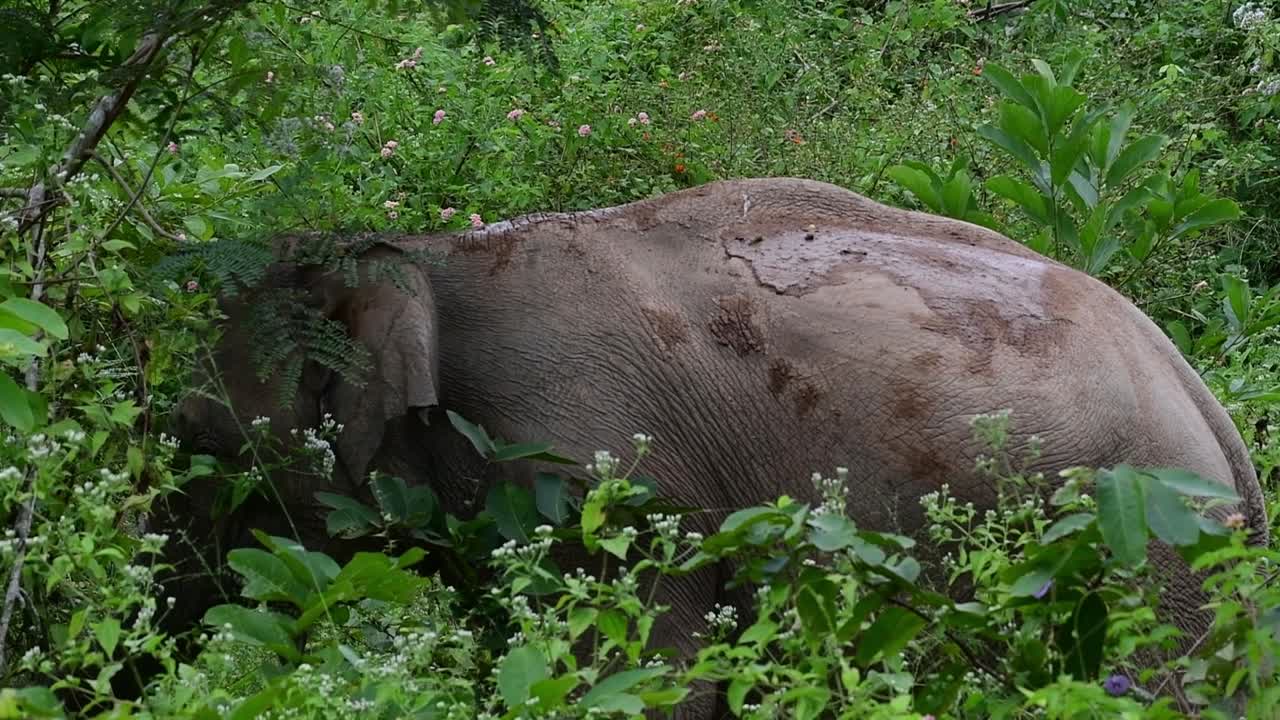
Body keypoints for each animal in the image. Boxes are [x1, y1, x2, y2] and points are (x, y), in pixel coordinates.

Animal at [161, 177, 1268, 717]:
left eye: (195, 433)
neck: (428, 256)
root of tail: (1202, 396)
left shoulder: (598, 461)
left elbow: (652, 671)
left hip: (1145, 546)